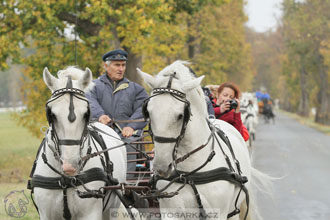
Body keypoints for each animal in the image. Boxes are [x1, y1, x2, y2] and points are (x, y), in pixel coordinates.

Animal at [28, 67, 126, 220]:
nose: (70, 165)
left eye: (86, 113)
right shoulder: (46, 214)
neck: (66, 180)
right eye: (52, 114)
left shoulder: (90, 214)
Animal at [138, 60, 270, 220]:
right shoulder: (170, 213)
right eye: (148, 112)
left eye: (181, 115)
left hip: (233, 211)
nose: (161, 167)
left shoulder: (218, 214)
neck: (189, 174)